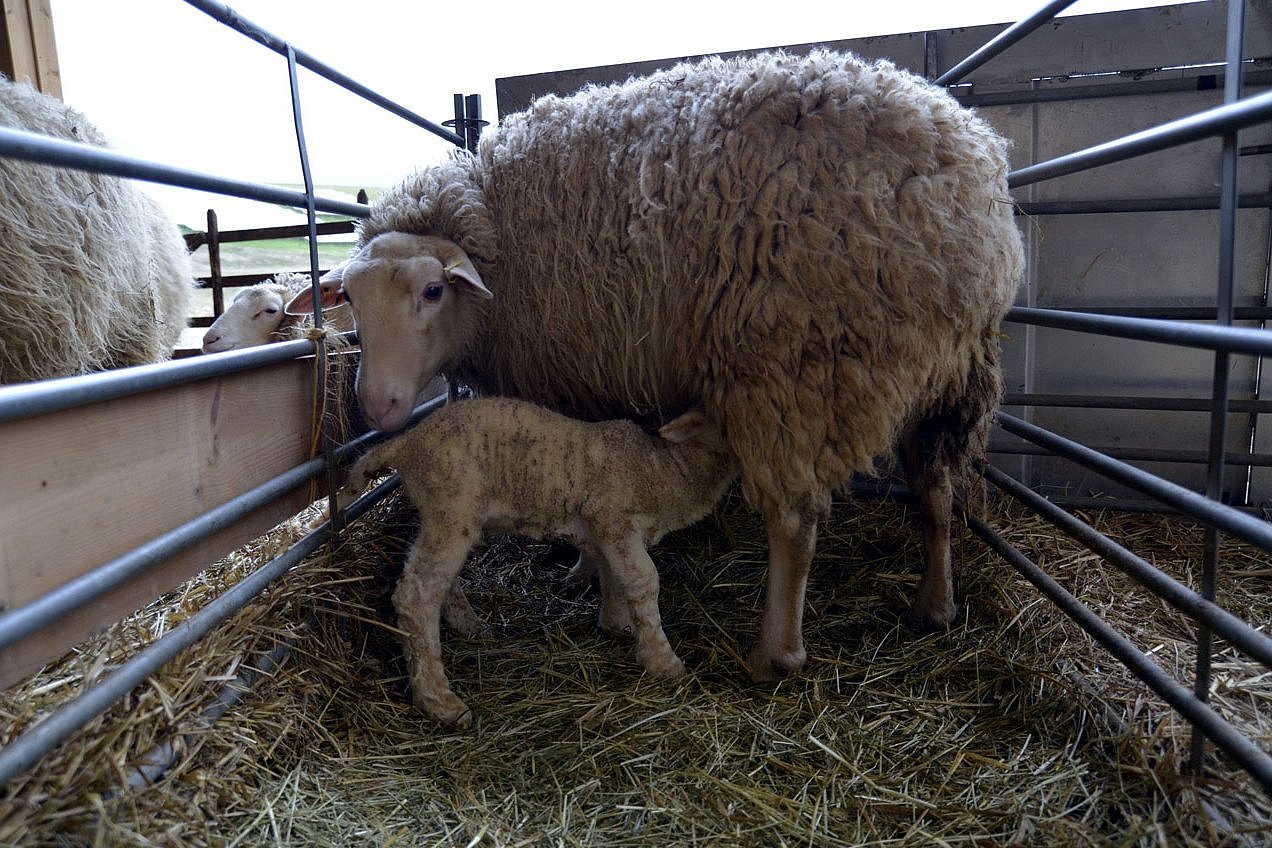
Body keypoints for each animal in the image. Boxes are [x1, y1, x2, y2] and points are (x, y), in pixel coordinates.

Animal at [292, 49, 1027, 681]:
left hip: (794, 365)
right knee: (936, 487)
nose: (377, 406)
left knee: (794, 519)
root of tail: (966, 184)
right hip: (950, 373)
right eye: (349, 299)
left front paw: (585, 573)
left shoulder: (572, 374)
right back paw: (935, 604)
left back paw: (775, 653)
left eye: (432, 291)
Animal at [333, 396, 742, 722]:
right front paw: (662, 660)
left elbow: (613, 575)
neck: (669, 469)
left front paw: (616, 624)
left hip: (446, 514)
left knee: (436, 582)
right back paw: (439, 701)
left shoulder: (606, 529)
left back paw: (469, 626)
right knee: (416, 594)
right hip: (452, 501)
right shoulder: (611, 516)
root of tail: (406, 442)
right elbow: (643, 580)